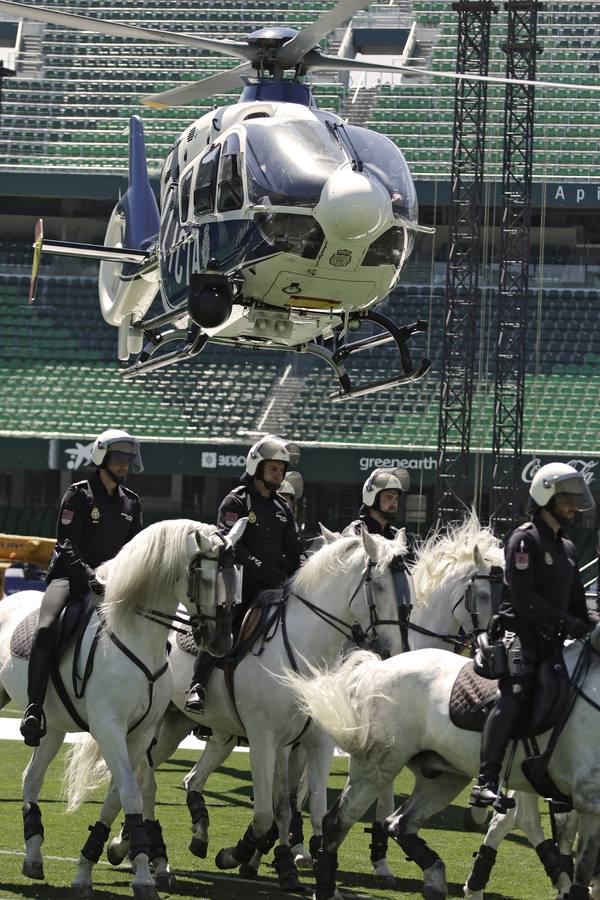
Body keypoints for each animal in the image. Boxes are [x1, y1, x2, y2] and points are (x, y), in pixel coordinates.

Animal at [0, 516, 245, 896]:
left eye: (235, 576)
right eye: (205, 578)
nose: (221, 642)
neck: (137, 637)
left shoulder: (140, 734)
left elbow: (120, 795)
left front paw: (92, 866)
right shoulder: (109, 728)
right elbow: (130, 791)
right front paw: (142, 875)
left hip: (52, 728)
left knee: (31, 778)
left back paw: (34, 856)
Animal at [284, 640, 600, 900]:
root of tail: (378, 667)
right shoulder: (588, 800)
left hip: (446, 777)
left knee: (400, 823)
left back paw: (437, 879)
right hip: (377, 765)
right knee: (337, 821)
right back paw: (327, 889)